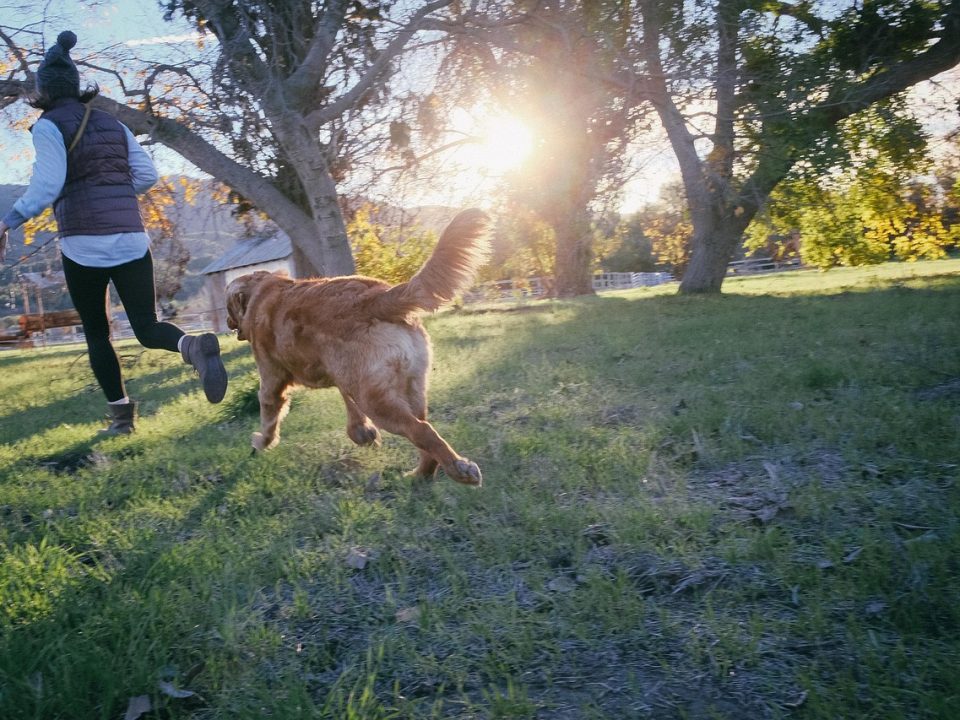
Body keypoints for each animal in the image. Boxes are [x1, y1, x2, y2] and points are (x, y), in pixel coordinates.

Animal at [225, 211, 488, 486]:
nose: (227, 322)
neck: (261, 292)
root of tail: (377, 298)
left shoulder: (272, 379)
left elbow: (268, 414)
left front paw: (262, 442)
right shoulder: (342, 375)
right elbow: (348, 402)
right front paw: (362, 432)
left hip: (377, 401)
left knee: (421, 430)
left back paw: (459, 469)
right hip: (408, 387)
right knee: (424, 433)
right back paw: (420, 475)